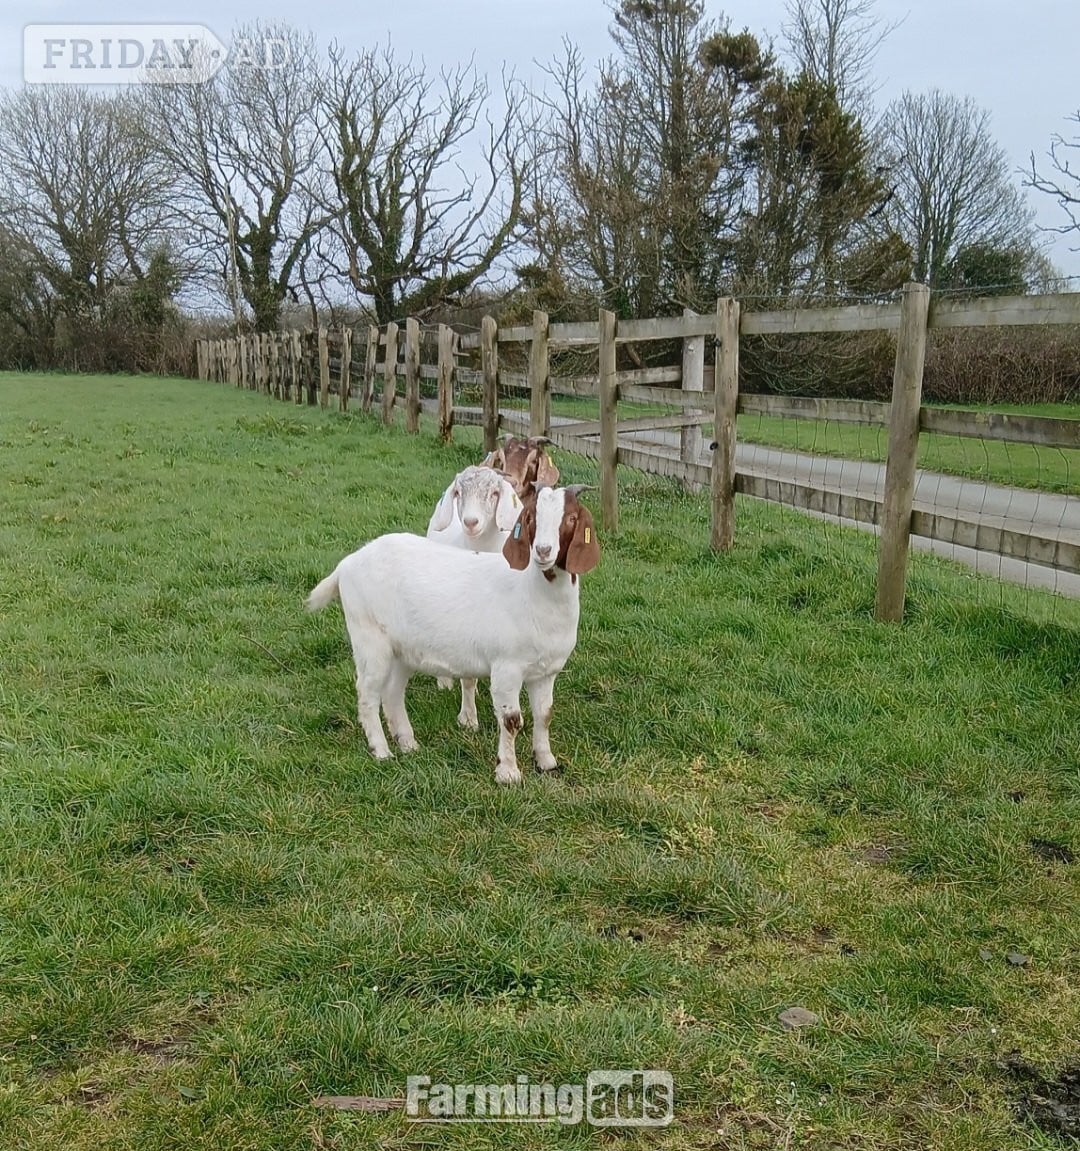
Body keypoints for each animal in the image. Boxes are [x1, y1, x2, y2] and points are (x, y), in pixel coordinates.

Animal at [306, 485, 600, 784]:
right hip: (369, 638)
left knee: (393, 693)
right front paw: (508, 772)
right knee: (367, 694)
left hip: (401, 650)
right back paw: (381, 751)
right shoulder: (507, 666)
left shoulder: (546, 672)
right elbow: (512, 720)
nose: (543, 550)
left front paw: (546, 762)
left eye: (572, 518)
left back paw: (408, 743)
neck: (531, 592)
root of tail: (347, 564)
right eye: (531, 518)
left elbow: (544, 715)